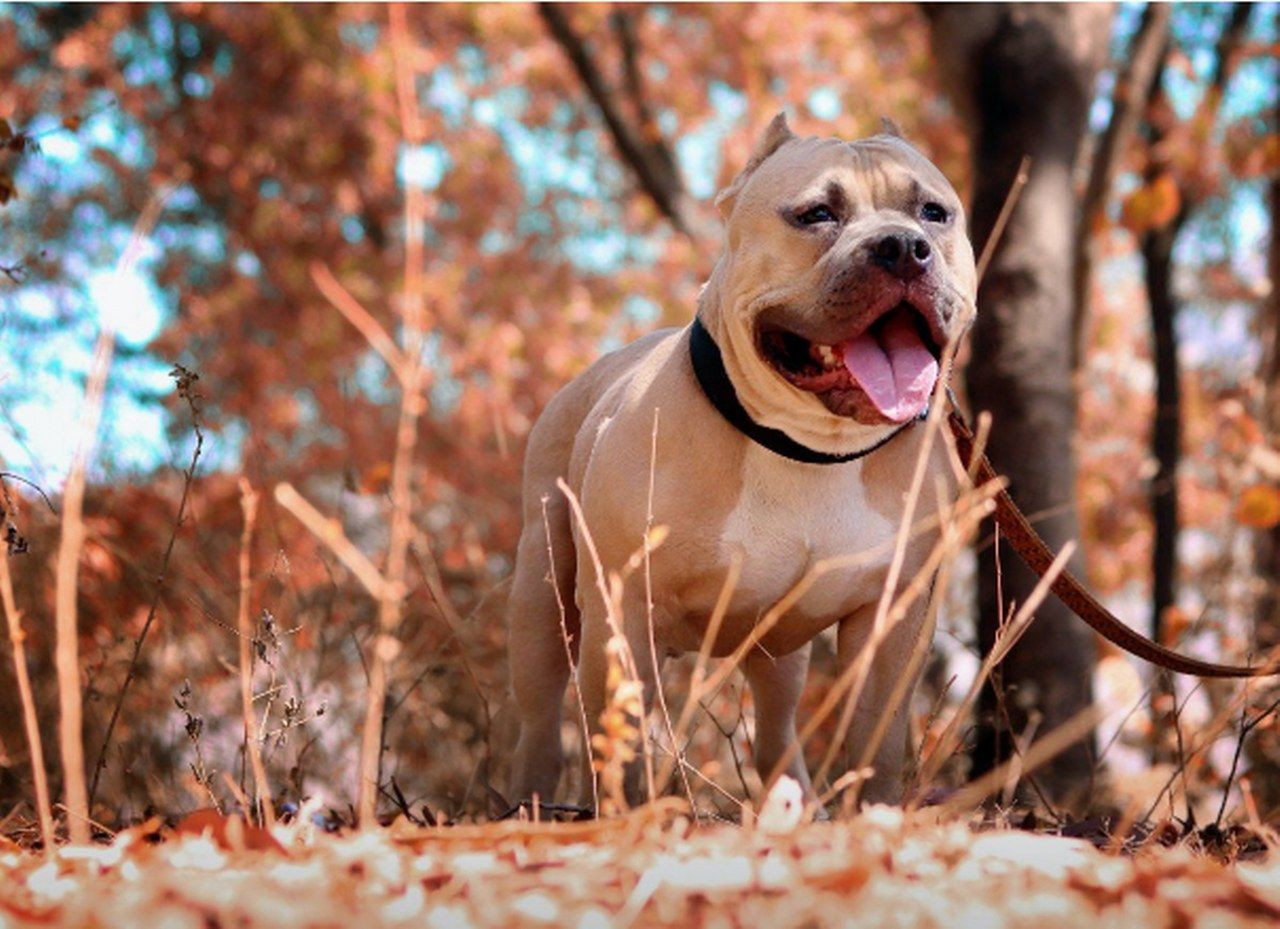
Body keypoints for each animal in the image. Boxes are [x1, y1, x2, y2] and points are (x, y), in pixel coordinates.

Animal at [504, 116, 972, 813]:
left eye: (933, 214)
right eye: (816, 214)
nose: (902, 247)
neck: (807, 447)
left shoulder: (894, 621)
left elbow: (877, 741)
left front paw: (874, 815)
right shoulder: (624, 609)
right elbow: (623, 742)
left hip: (780, 659)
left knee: (775, 732)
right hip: (543, 602)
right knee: (538, 723)